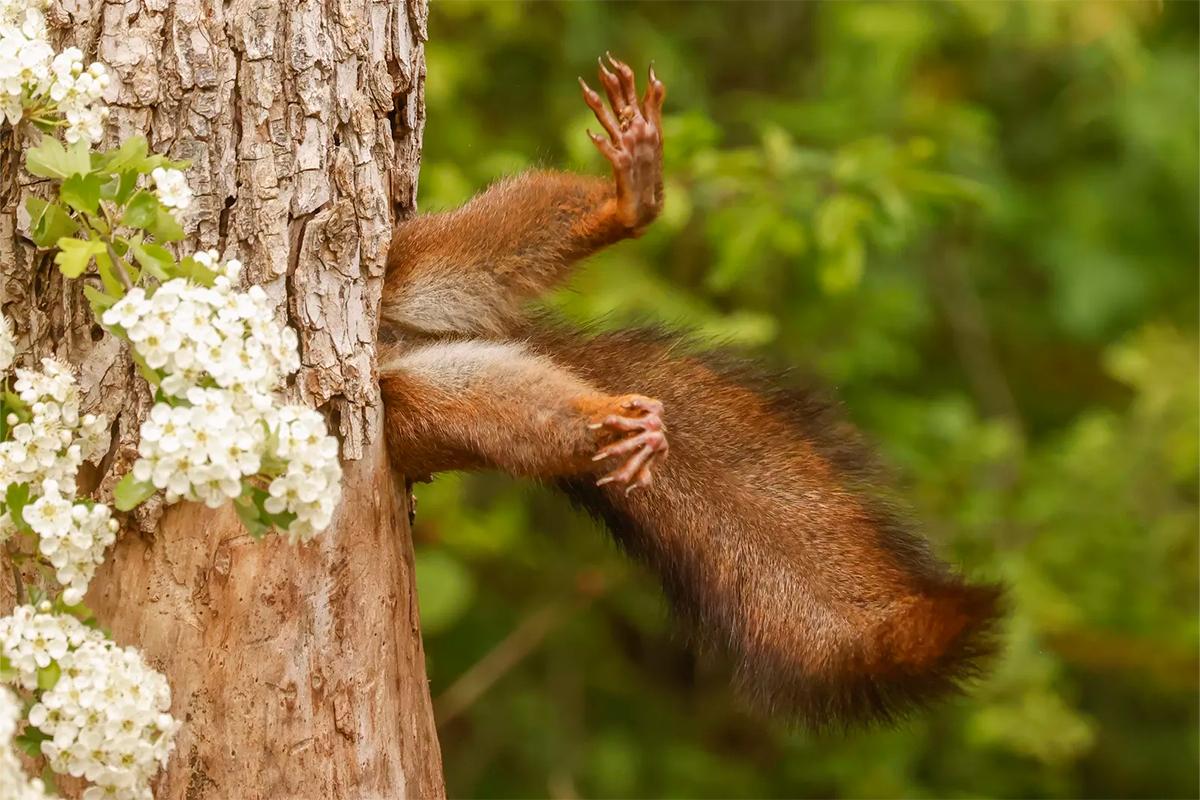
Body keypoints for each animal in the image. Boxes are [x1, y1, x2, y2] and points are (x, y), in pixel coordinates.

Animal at [376, 56, 1003, 734]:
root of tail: (396, 343)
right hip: (418, 407)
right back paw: (613, 423)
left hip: (409, 264)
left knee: (488, 239)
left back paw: (629, 199)